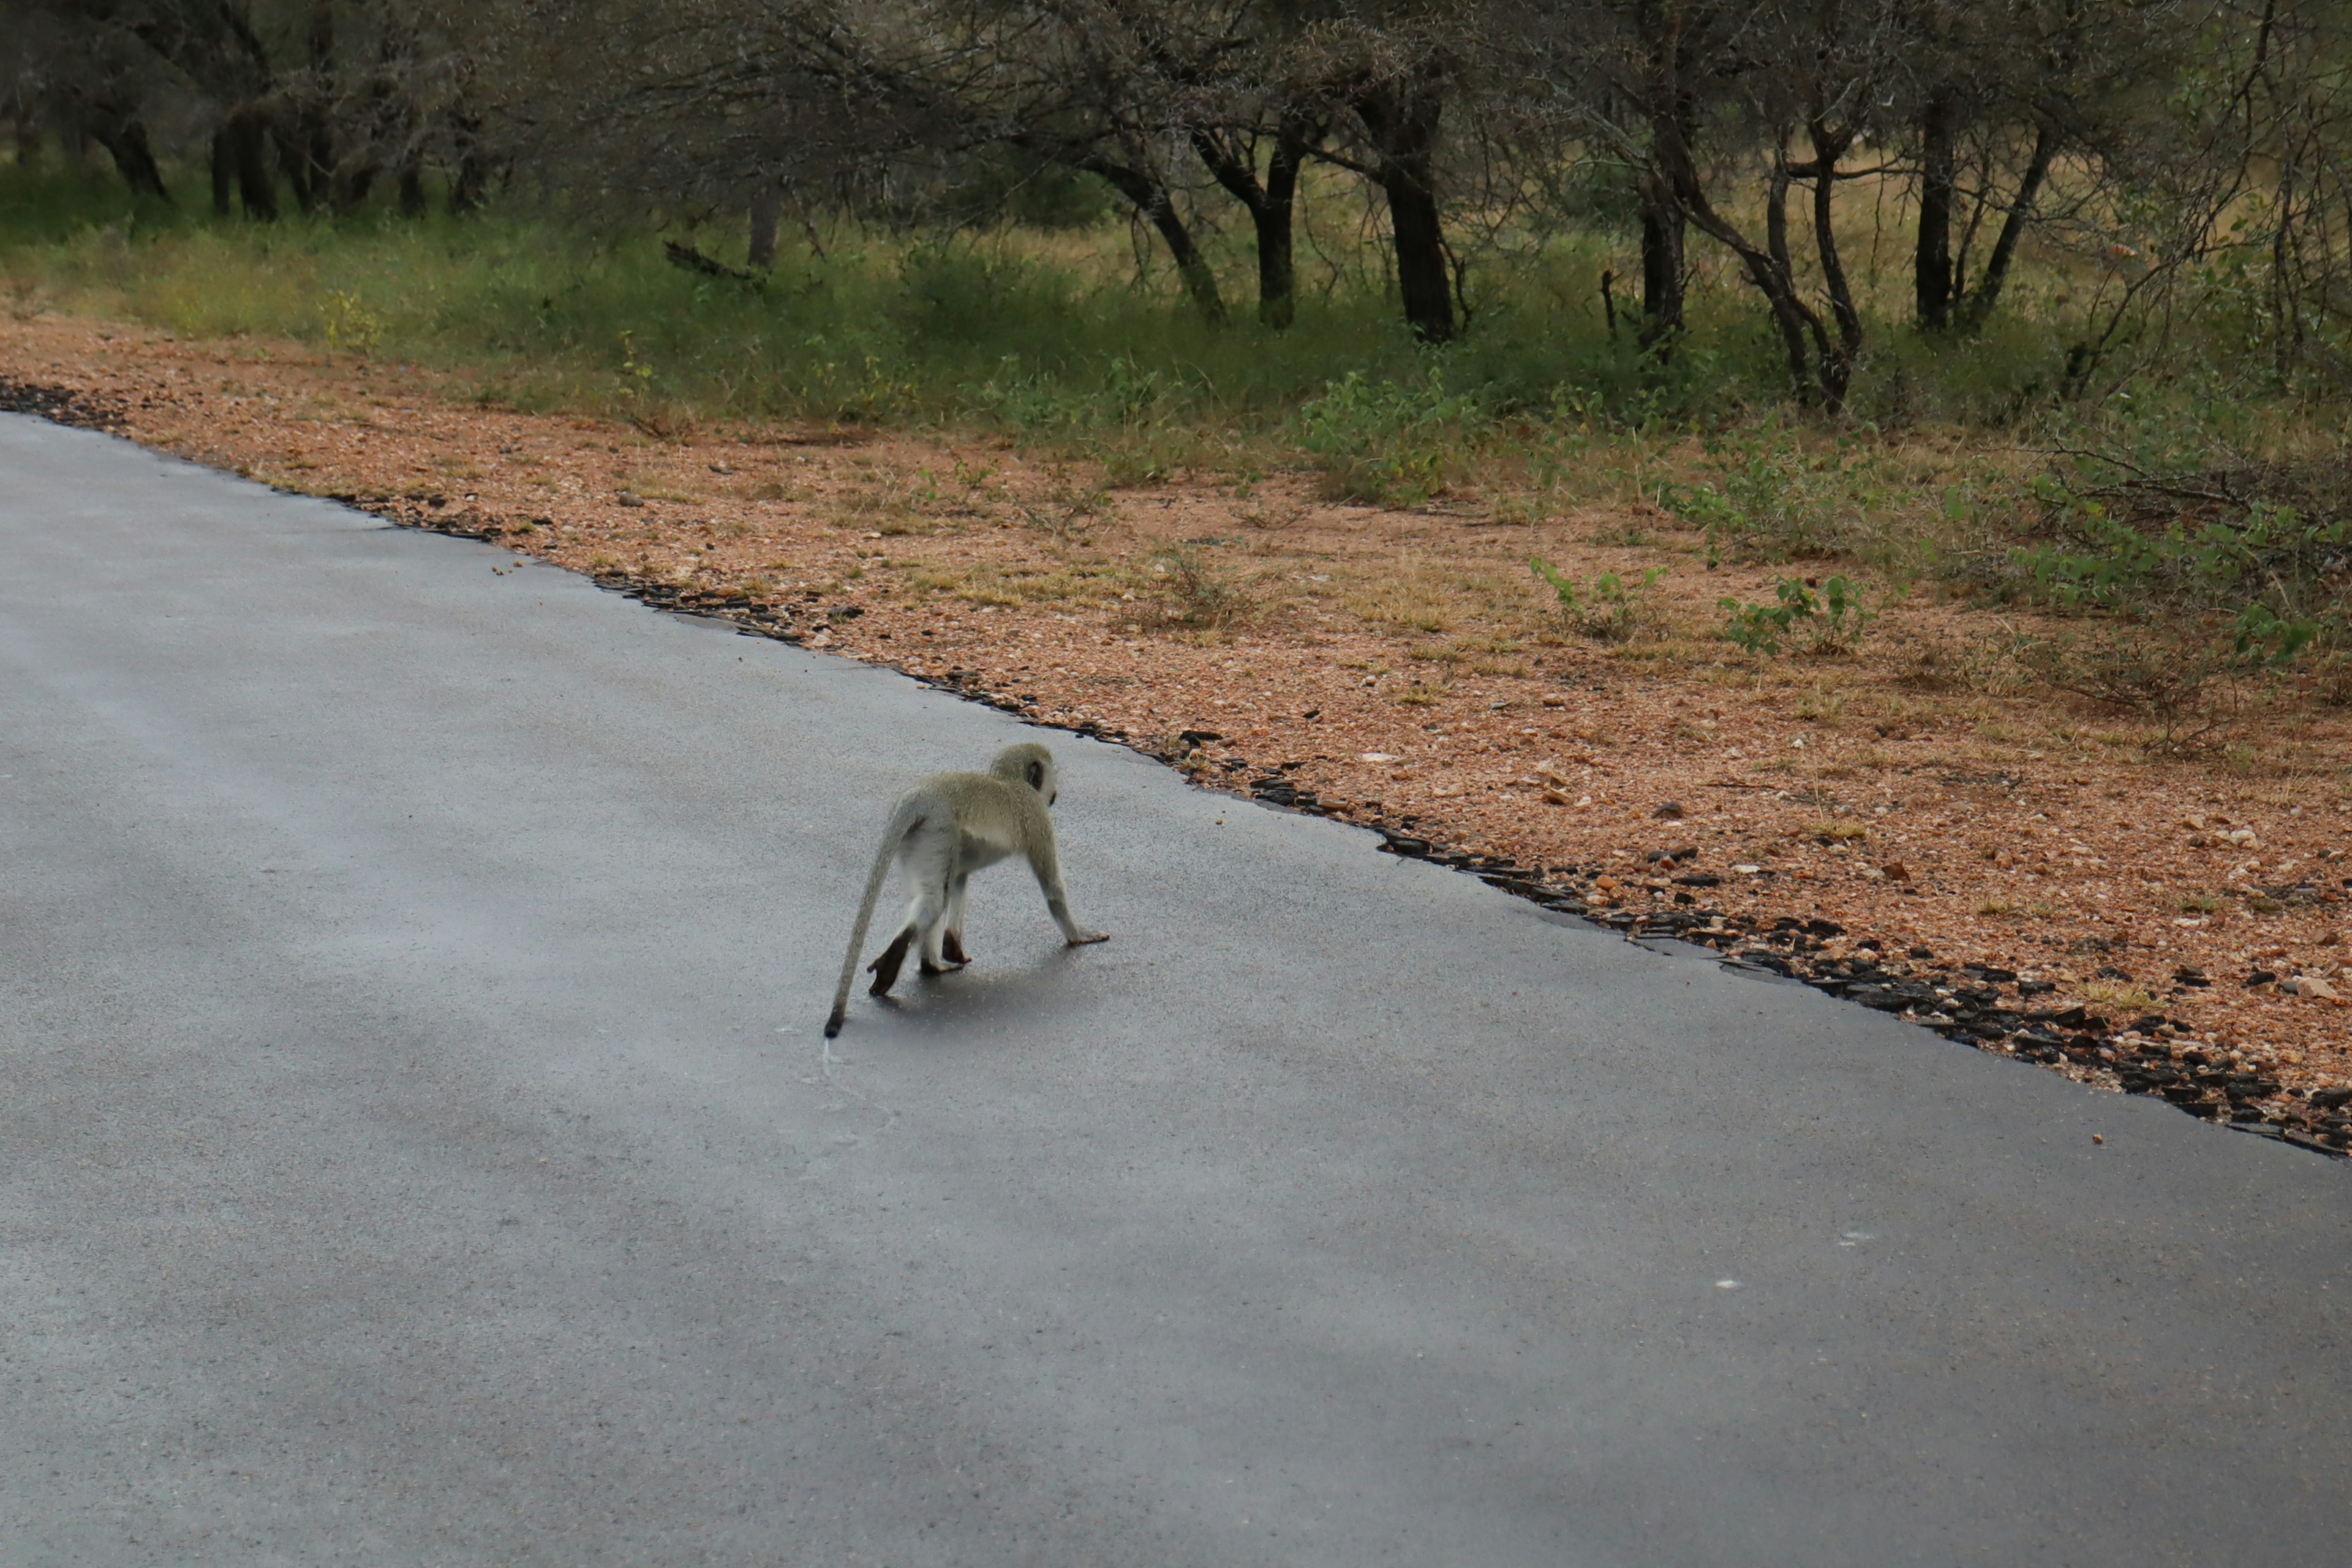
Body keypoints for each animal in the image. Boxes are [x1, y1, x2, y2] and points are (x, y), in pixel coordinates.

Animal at [823, 738, 1105, 1034]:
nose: (1054, 794)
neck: (1010, 781)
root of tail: (918, 798)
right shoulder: (1037, 816)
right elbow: (1052, 889)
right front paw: (1079, 936)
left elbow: (960, 877)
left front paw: (952, 947)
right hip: (938, 830)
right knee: (935, 899)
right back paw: (898, 960)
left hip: (917, 841)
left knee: (939, 889)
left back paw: (931, 965)